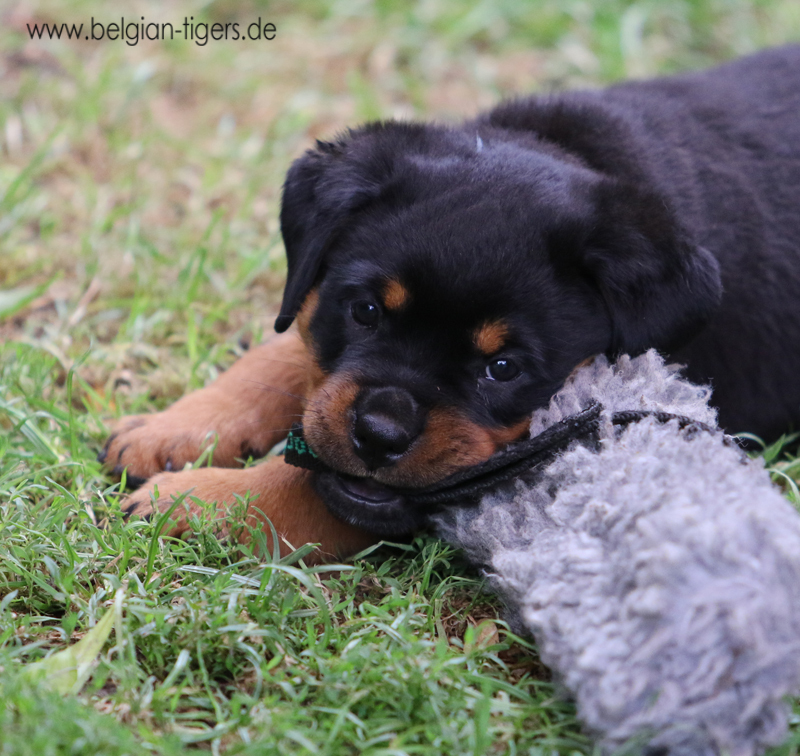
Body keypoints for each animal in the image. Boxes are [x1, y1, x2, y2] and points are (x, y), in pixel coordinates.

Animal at [101, 45, 800, 560]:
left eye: (503, 368)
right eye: (366, 312)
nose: (379, 435)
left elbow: (307, 486)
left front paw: (198, 502)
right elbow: (280, 354)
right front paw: (171, 428)